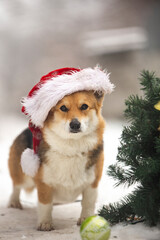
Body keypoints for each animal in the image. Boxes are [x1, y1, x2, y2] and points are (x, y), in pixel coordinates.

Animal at [8, 67, 114, 231]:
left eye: (84, 106)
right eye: (63, 108)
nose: (75, 124)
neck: (72, 146)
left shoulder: (92, 182)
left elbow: (88, 204)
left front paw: (86, 219)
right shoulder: (44, 183)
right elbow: (45, 204)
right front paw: (45, 223)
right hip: (23, 175)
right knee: (16, 186)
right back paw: (14, 202)